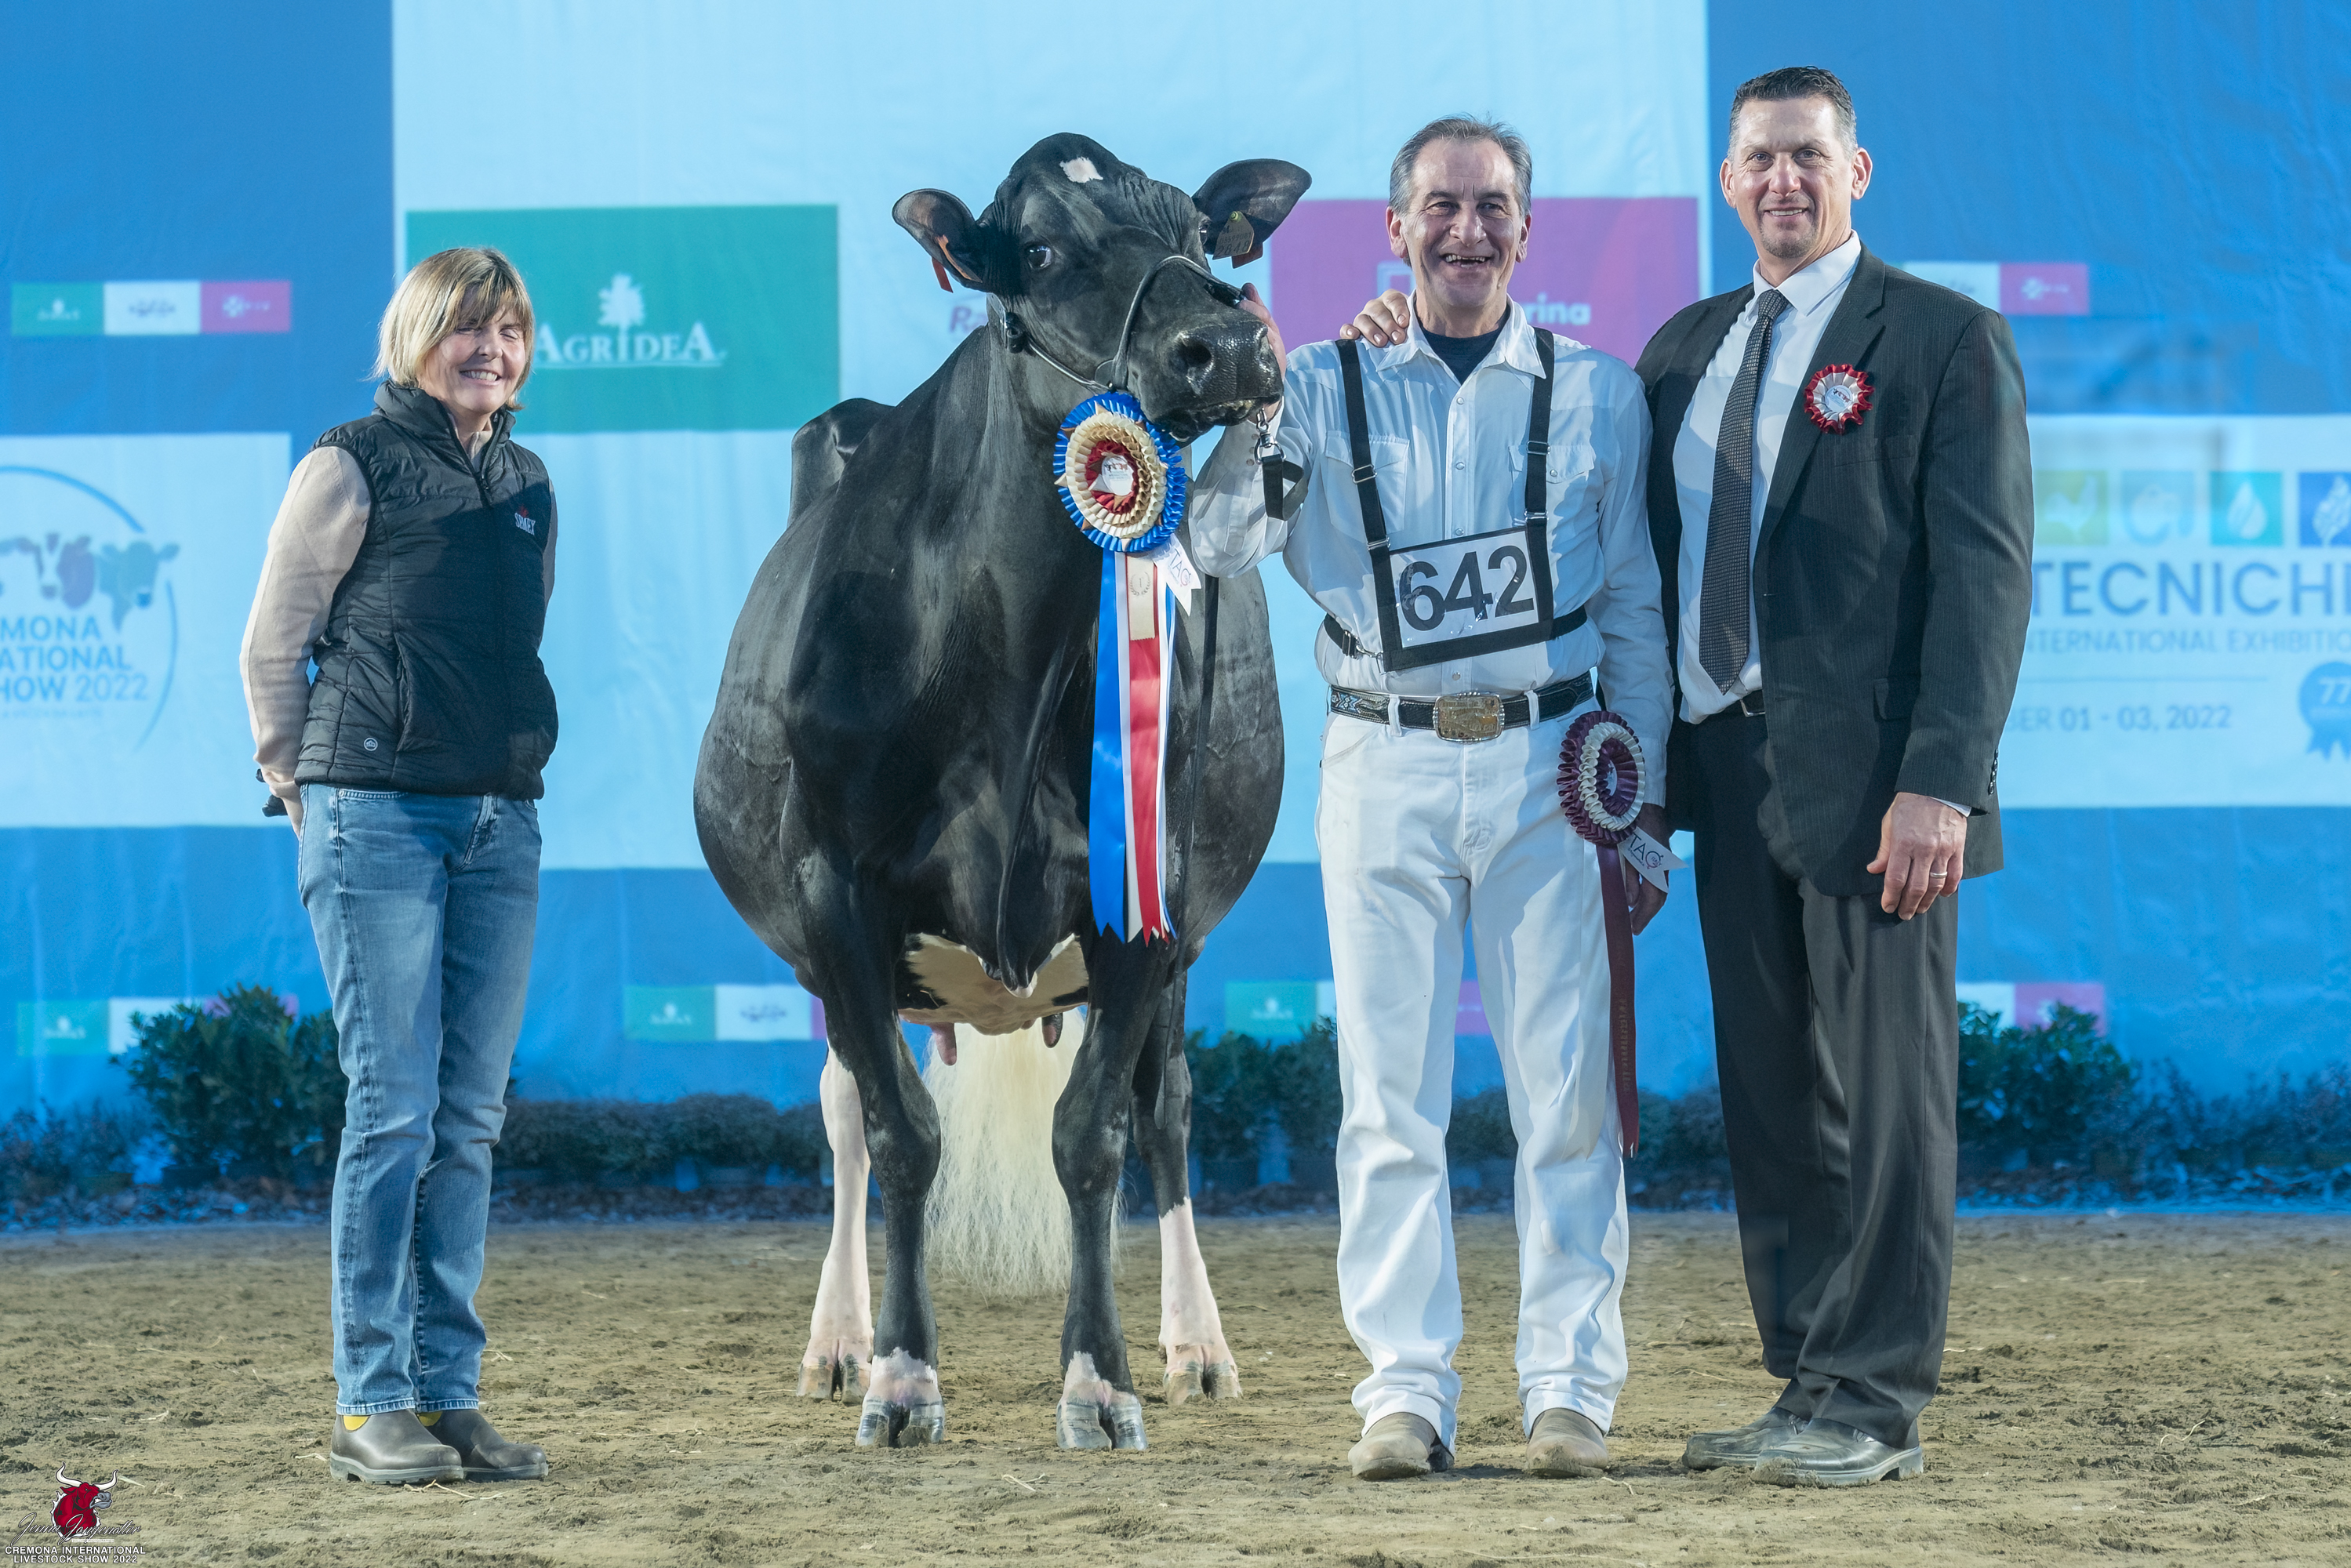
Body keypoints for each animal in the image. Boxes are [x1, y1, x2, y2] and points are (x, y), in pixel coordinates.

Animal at [695, 133, 1306, 1451]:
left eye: (1197, 230)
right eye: (1037, 249)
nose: (1226, 343)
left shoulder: (1148, 899)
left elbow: (1098, 1133)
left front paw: (1101, 1382)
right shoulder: (833, 890)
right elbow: (898, 1137)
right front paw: (900, 1375)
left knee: (1171, 1106)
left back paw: (1197, 1346)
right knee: (841, 1111)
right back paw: (838, 1341)